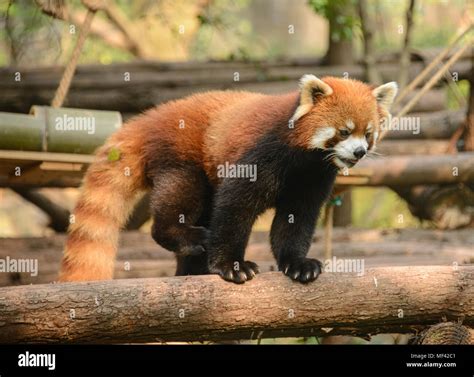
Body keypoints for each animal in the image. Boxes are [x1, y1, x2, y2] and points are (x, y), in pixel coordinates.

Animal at [60, 75, 400, 282]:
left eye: (368, 134)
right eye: (343, 131)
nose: (358, 152)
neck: (304, 161)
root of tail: (150, 117)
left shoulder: (311, 179)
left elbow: (295, 221)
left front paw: (298, 264)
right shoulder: (260, 155)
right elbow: (235, 208)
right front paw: (232, 267)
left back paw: (191, 270)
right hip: (182, 158)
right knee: (180, 199)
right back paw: (187, 238)